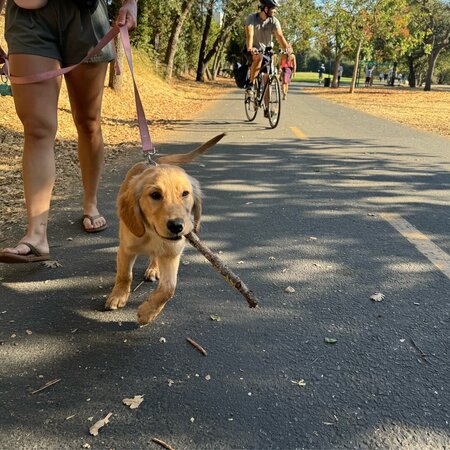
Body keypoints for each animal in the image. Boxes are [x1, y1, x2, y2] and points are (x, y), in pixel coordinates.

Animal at [106, 132, 225, 326]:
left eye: (185, 193)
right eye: (155, 195)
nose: (177, 226)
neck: (152, 234)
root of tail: (153, 161)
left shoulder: (172, 253)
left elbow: (169, 289)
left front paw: (147, 313)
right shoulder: (126, 249)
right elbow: (124, 275)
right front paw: (118, 296)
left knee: (156, 257)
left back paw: (154, 268)